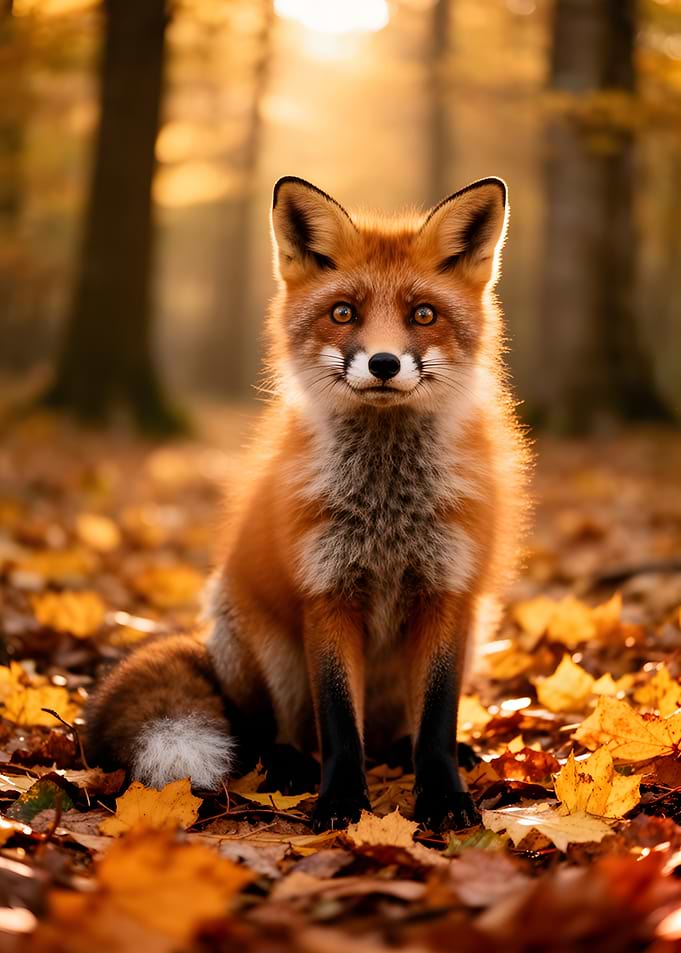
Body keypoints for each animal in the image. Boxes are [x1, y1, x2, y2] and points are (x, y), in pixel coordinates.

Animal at [85, 175, 529, 832]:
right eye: (344, 313)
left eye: (423, 315)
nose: (384, 363)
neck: (386, 506)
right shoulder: (327, 593)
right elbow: (339, 723)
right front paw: (341, 802)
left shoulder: (447, 593)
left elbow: (437, 724)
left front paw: (444, 798)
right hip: (265, 646)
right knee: (271, 733)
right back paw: (289, 766)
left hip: (476, 627)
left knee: (393, 735)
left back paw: (409, 752)